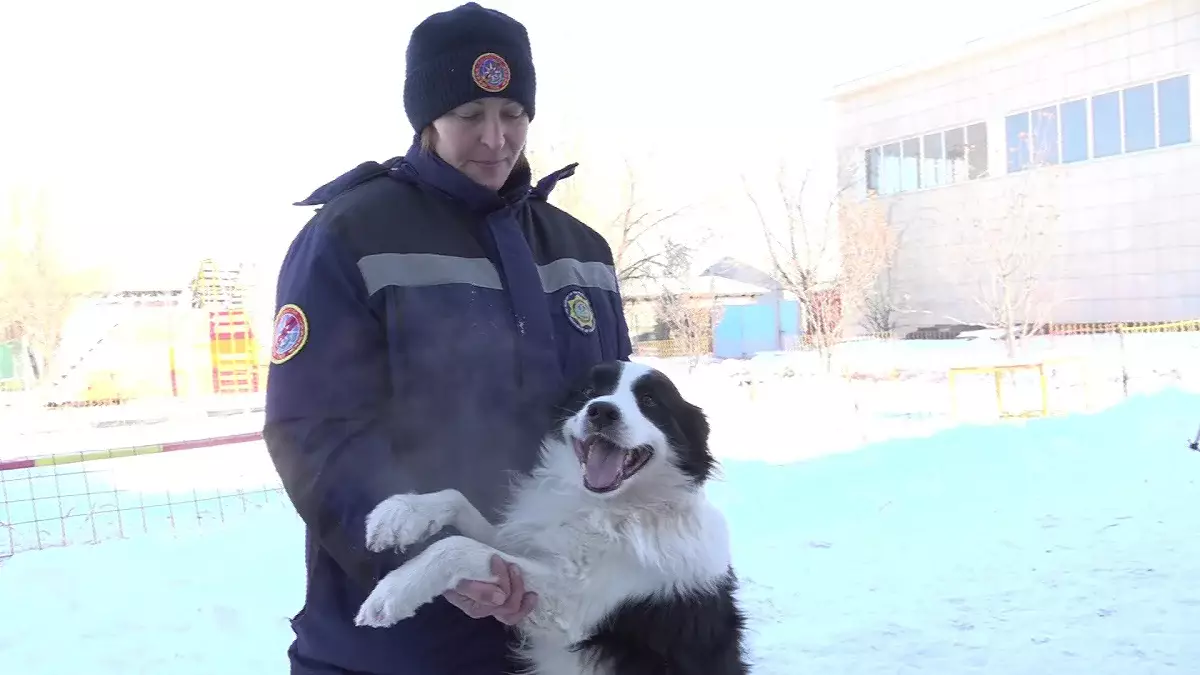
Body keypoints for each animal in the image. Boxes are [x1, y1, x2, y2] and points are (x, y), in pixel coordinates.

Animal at [355, 360, 744, 672]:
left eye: (650, 401)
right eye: (588, 391)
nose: (601, 411)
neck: (604, 509)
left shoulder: (573, 605)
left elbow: (456, 546)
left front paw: (392, 592)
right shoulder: (524, 540)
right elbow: (458, 501)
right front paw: (400, 514)